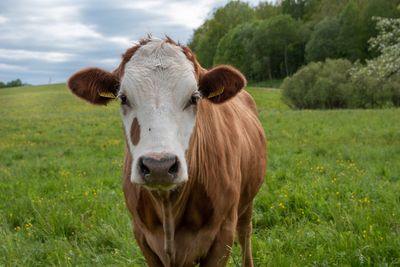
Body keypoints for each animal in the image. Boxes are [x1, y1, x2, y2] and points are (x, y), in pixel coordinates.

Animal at [67, 36, 268, 267]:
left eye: (194, 97)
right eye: (123, 98)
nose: (159, 166)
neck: (168, 208)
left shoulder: (223, 232)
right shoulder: (142, 235)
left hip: (247, 201)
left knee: (245, 233)